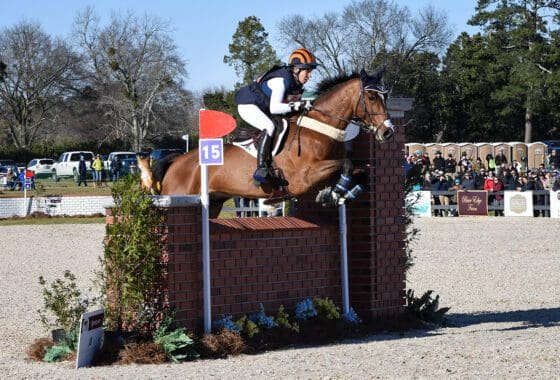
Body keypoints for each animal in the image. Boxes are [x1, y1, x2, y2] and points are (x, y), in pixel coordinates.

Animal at [147, 68, 396, 217]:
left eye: (385, 96)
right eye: (371, 97)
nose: (388, 132)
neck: (317, 129)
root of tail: (176, 162)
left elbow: (361, 171)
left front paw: (338, 193)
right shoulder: (304, 176)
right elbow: (347, 164)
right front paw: (334, 194)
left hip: (214, 202)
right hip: (178, 196)